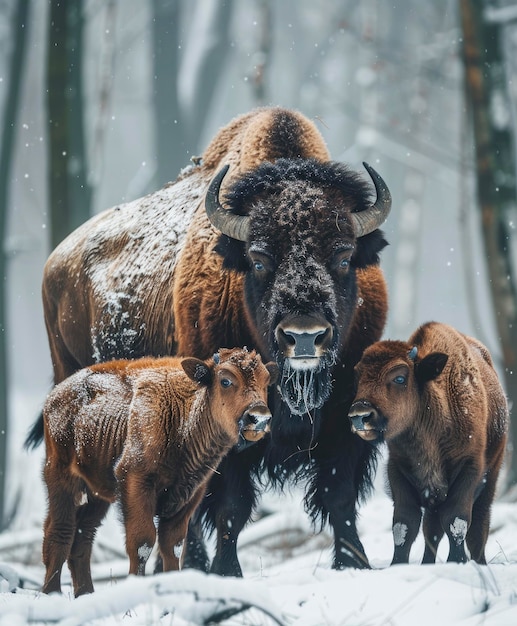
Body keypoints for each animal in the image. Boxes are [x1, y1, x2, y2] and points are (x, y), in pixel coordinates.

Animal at [41, 346, 276, 596]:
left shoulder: (188, 496)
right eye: (225, 381)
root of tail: (54, 397)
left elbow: (172, 546)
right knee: (60, 533)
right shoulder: (136, 483)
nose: (259, 417)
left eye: (266, 381)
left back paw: (86, 594)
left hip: (97, 495)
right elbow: (142, 542)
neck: (184, 412)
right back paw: (52, 593)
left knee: (83, 538)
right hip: (61, 479)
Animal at [348, 320, 506, 564]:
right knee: (432, 529)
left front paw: (456, 561)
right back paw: (427, 563)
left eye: (400, 378)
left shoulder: (469, 469)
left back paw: (479, 562)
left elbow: (456, 521)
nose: (360, 415)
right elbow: (404, 525)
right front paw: (398, 564)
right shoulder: (399, 472)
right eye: (358, 378)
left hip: (491, 476)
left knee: (478, 526)